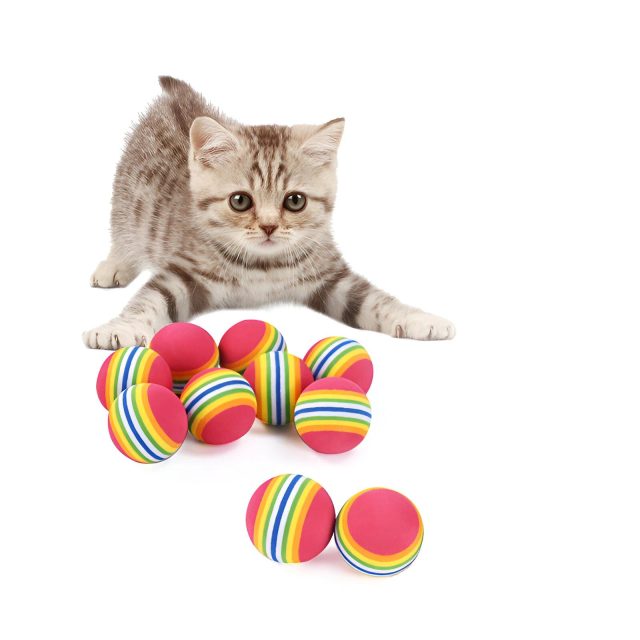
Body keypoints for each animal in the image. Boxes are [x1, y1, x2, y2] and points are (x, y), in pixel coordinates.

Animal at [83, 76, 455, 349]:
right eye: (240, 201)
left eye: (295, 201)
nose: (268, 227)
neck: (263, 268)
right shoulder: (182, 272)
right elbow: (148, 300)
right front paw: (120, 327)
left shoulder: (332, 277)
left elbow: (377, 300)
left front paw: (419, 318)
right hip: (129, 198)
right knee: (124, 232)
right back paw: (115, 265)